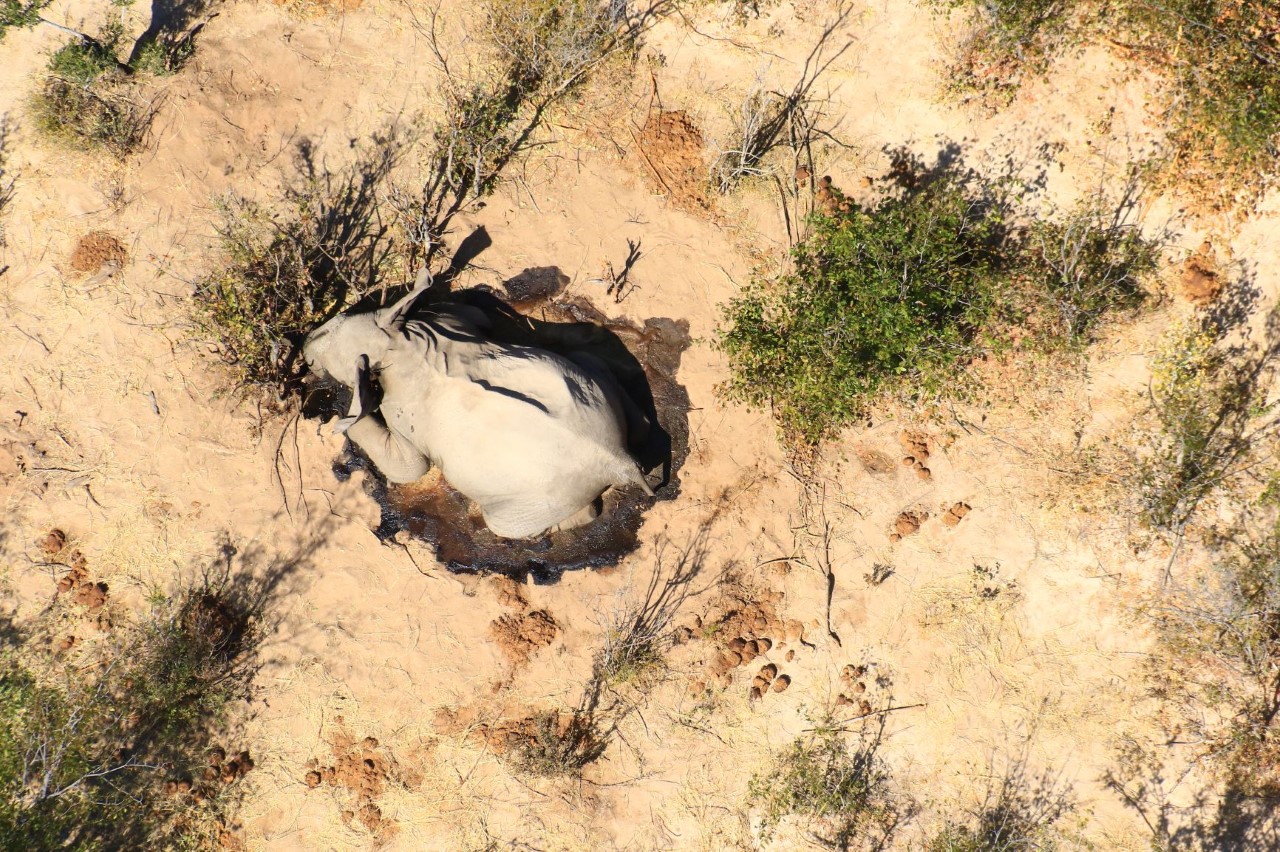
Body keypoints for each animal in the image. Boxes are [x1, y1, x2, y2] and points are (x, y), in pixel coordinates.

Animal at [301, 271, 655, 540]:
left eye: (326, 334)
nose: (305, 343)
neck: (395, 346)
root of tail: (617, 460)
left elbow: (408, 469)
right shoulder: (445, 324)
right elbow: (474, 314)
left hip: (542, 499)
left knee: (507, 524)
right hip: (591, 390)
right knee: (594, 364)